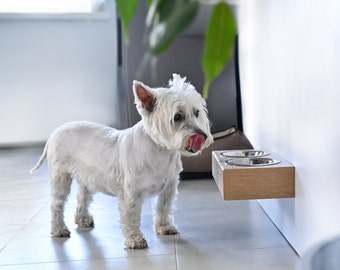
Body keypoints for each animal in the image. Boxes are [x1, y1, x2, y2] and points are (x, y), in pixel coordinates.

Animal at [30, 74, 214, 249]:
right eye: (177, 116)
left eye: (196, 112)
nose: (202, 136)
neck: (160, 151)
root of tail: (55, 132)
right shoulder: (131, 192)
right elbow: (132, 217)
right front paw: (135, 240)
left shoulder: (169, 186)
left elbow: (163, 207)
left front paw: (164, 227)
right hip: (61, 176)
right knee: (56, 205)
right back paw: (59, 229)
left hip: (87, 178)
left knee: (82, 197)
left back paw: (83, 219)